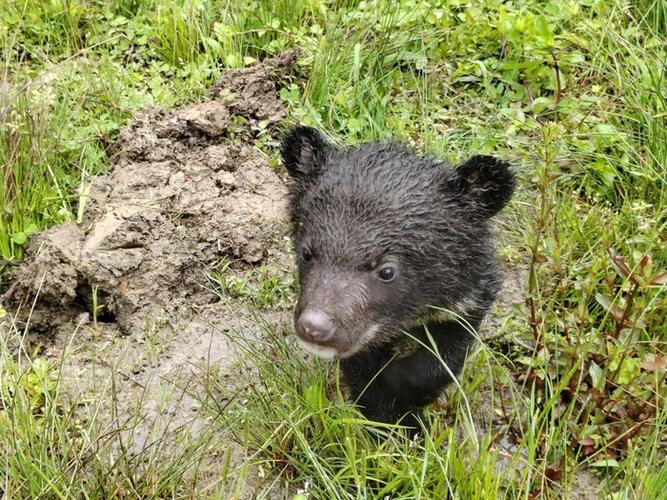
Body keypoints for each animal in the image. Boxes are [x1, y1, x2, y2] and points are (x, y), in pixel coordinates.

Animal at [281, 125, 515, 431]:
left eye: (387, 271)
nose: (314, 327)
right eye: (307, 253)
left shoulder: (469, 300)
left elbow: (445, 355)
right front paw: (392, 425)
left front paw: (406, 395)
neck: (409, 315)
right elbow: (365, 378)